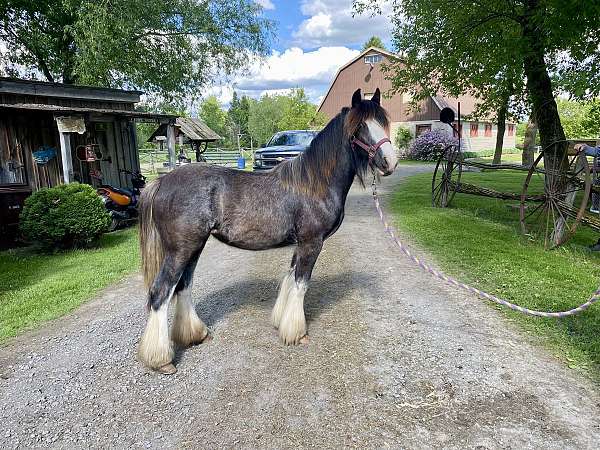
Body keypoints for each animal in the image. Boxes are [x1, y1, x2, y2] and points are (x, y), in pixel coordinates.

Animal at [138, 89, 396, 372]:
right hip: (180, 251)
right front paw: (297, 334)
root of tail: (161, 182)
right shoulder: (312, 242)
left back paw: (196, 334)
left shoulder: (300, 244)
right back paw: (161, 360)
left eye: (382, 122)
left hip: (194, 247)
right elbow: (301, 284)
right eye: (359, 126)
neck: (314, 182)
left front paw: (281, 321)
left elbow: (290, 279)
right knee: (161, 292)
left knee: (183, 287)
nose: (390, 162)